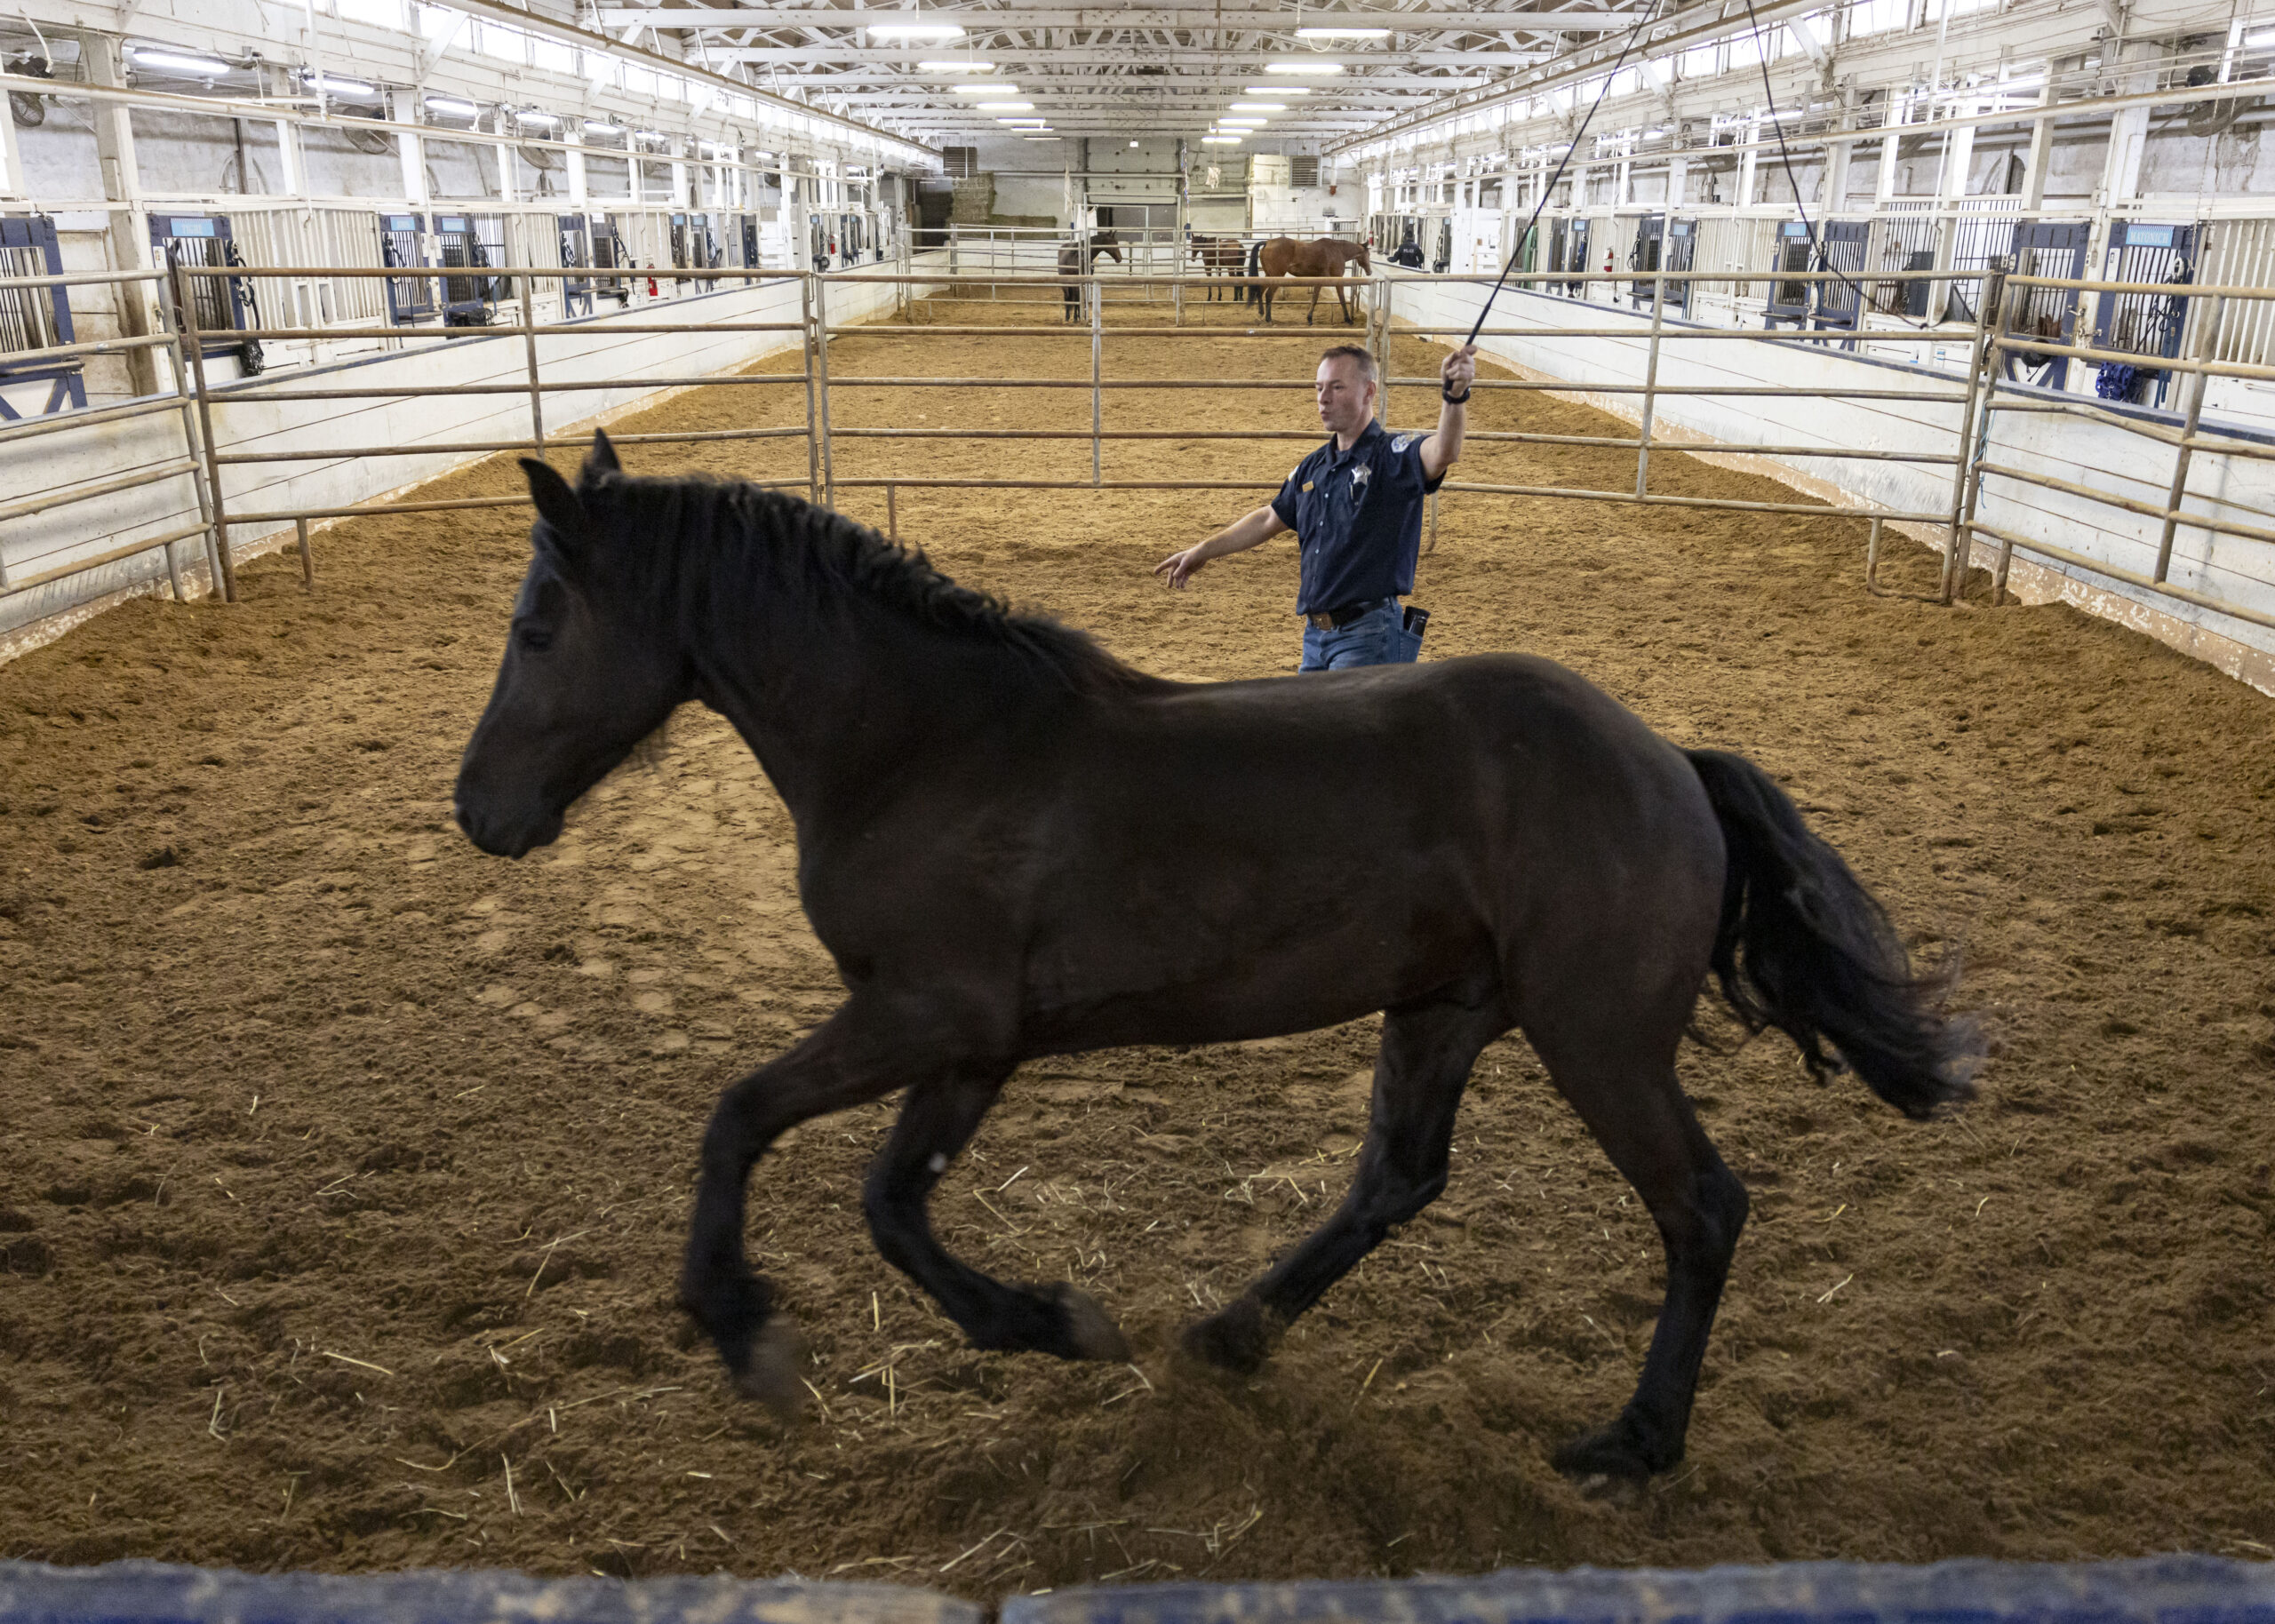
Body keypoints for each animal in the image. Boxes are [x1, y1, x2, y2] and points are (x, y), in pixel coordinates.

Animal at [452, 436, 1984, 1483]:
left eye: (536, 626)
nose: (480, 810)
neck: (925, 747)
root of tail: (1670, 759)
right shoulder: (972, 1044)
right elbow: (894, 1201)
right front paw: (1052, 1321)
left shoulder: (922, 1014)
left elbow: (748, 1123)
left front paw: (748, 1331)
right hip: (1443, 1009)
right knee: (1396, 1181)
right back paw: (1230, 1336)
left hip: (1597, 1037)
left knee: (1703, 1208)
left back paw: (1632, 1442)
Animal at [1246, 234, 1365, 322]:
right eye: (1366, 254)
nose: (1368, 271)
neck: (1337, 250)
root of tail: (1268, 242)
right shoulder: (1335, 279)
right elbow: (1339, 298)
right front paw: (1348, 319)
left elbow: (1315, 297)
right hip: (1276, 277)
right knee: (1268, 295)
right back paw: (1268, 318)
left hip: (1268, 275)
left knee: (1260, 292)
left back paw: (1261, 313)